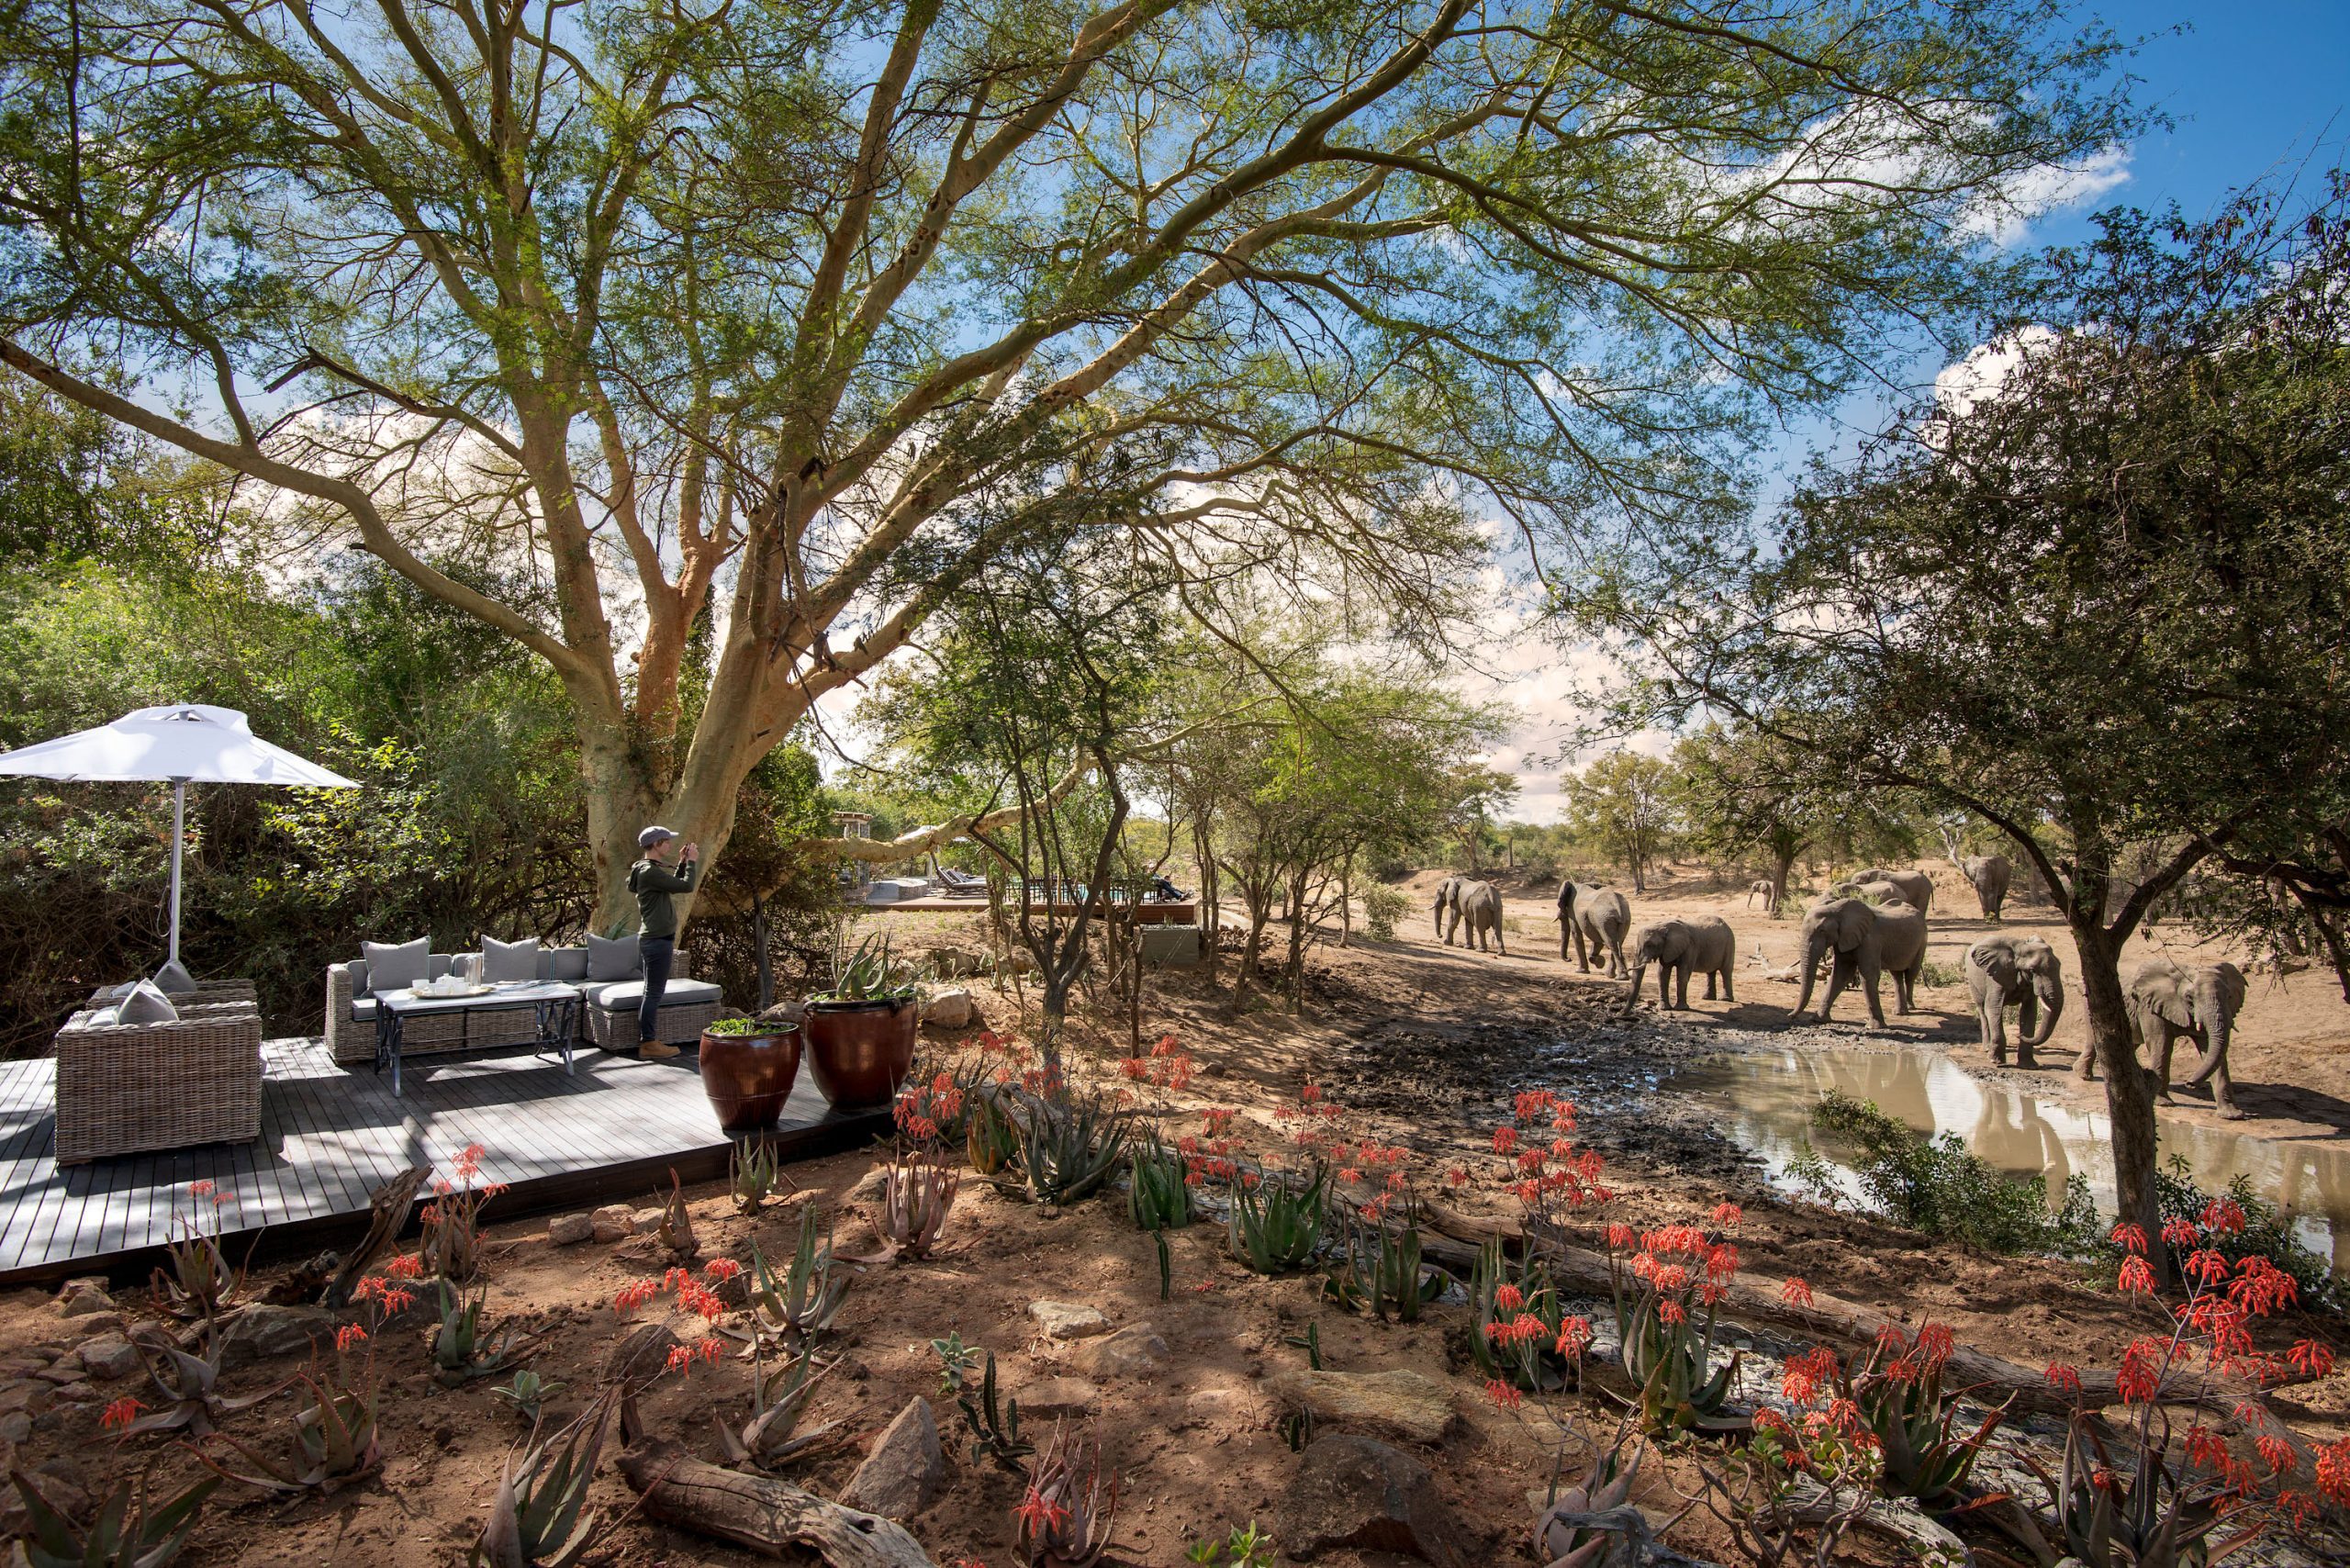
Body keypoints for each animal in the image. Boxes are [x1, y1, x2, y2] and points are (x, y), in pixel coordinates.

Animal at [1795, 902, 1927, 1025]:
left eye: (1822, 930)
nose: (1792, 1016)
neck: (1836, 910)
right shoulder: (1845, 939)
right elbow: (1841, 974)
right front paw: (1818, 1019)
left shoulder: (1870, 940)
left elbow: (1868, 975)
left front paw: (1874, 1026)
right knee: (1896, 974)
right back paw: (1899, 1012)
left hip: (1922, 940)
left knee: (1911, 974)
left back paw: (1910, 1007)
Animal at [1954, 931, 2067, 1067]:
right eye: (2032, 970)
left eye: (2060, 965)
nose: (2019, 1035)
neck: (2020, 948)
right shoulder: (1996, 975)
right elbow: (1993, 1009)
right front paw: (1996, 1061)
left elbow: (2029, 1012)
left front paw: (2029, 1066)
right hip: (1973, 981)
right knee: (1982, 1009)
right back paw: (1987, 1048)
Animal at [2124, 958, 2246, 1114]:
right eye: (2189, 997)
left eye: (2229, 996)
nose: (2189, 1083)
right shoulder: (2149, 1006)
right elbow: (2161, 1043)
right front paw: (2164, 1103)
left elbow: (2211, 1050)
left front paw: (2232, 1114)